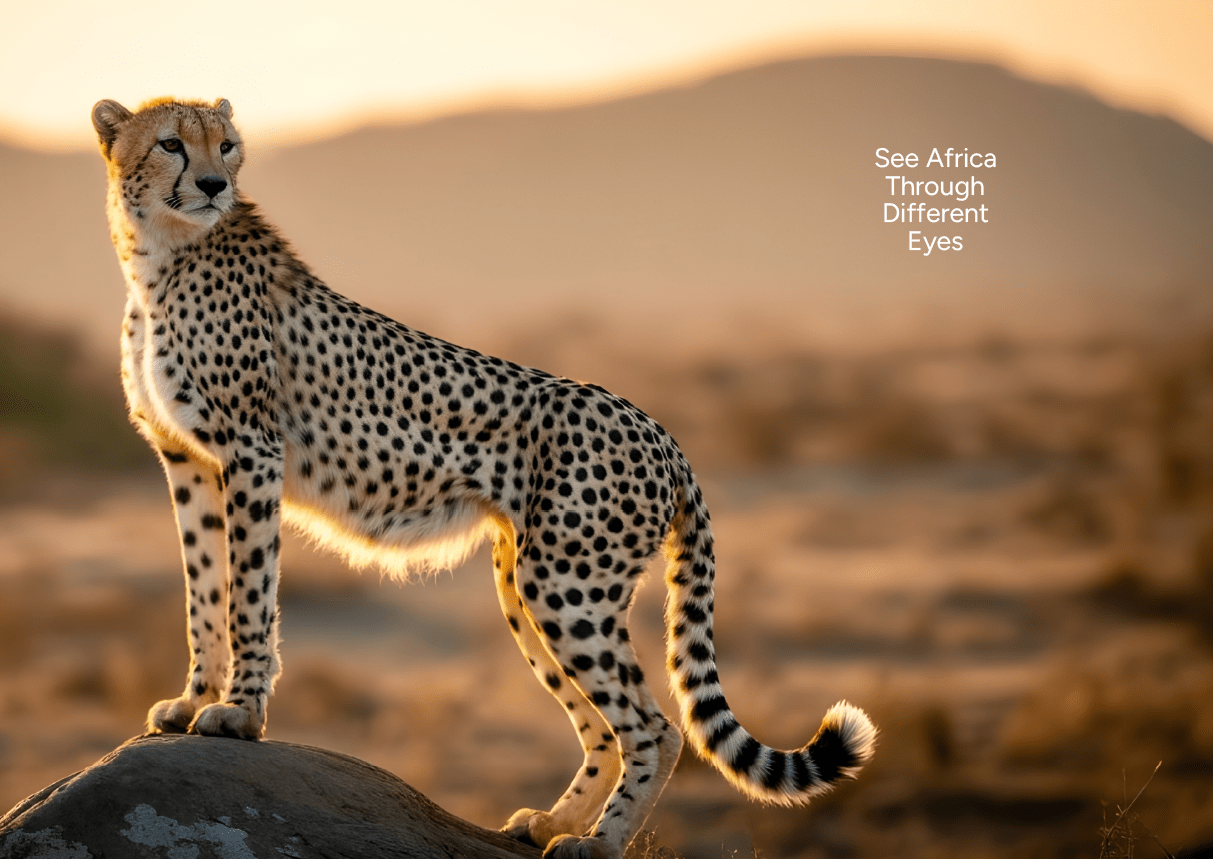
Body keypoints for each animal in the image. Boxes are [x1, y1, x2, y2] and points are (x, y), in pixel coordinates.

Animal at [90, 96, 876, 859]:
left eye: (226, 146)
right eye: (170, 143)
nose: (213, 185)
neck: (160, 258)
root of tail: (659, 431)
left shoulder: (251, 450)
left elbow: (249, 594)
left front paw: (240, 712)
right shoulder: (188, 460)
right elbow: (204, 591)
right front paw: (192, 701)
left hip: (566, 583)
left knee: (655, 725)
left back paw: (598, 842)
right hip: (525, 583)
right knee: (602, 724)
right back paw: (552, 822)